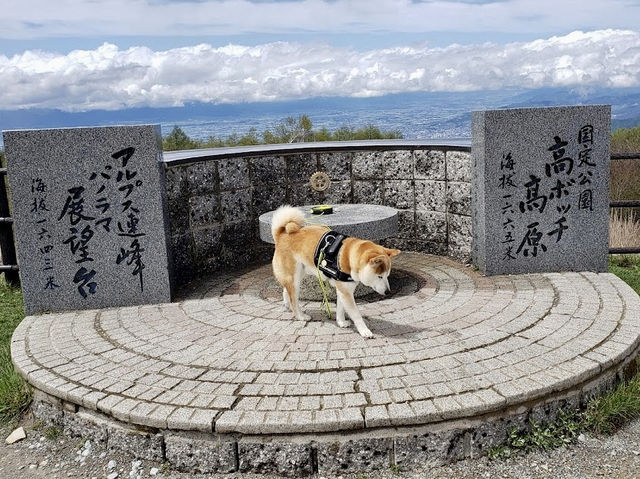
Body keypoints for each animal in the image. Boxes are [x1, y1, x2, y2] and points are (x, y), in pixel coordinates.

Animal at [272, 205, 400, 338]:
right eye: (380, 276)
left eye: (387, 276)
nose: (388, 291)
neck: (348, 257)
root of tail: (281, 234)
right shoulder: (346, 292)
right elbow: (356, 314)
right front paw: (364, 331)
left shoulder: (343, 289)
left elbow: (341, 309)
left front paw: (341, 322)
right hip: (295, 278)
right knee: (293, 299)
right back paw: (301, 316)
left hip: (298, 274)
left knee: (286, 290)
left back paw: (287, 306)